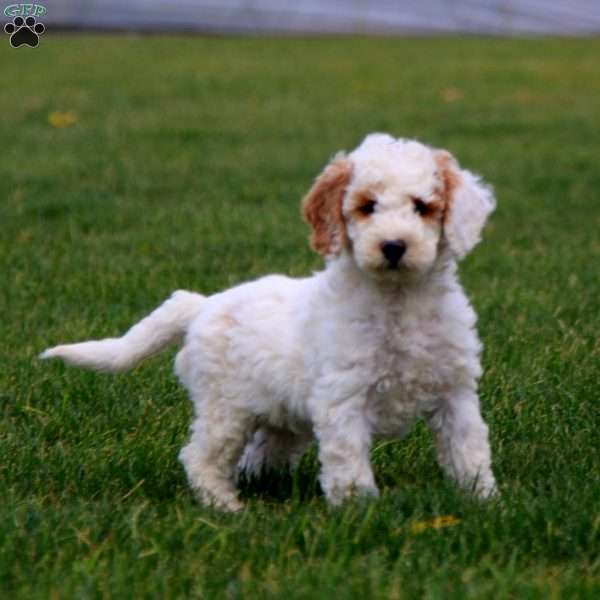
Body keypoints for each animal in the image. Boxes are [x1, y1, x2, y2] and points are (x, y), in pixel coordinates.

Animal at [42, 134, 500, 508]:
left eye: (422, 207)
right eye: (367, 207)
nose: (393, 246)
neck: (398, 299)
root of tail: (201, 304)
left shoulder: (455, 392)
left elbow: (468, 449)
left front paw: (482, 500)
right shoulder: (344, 398)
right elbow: (348, 460)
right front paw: (360, 509)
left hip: (282, 417)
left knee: (259, 455)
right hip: (225, 409)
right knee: (201, 456)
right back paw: (225, 506)